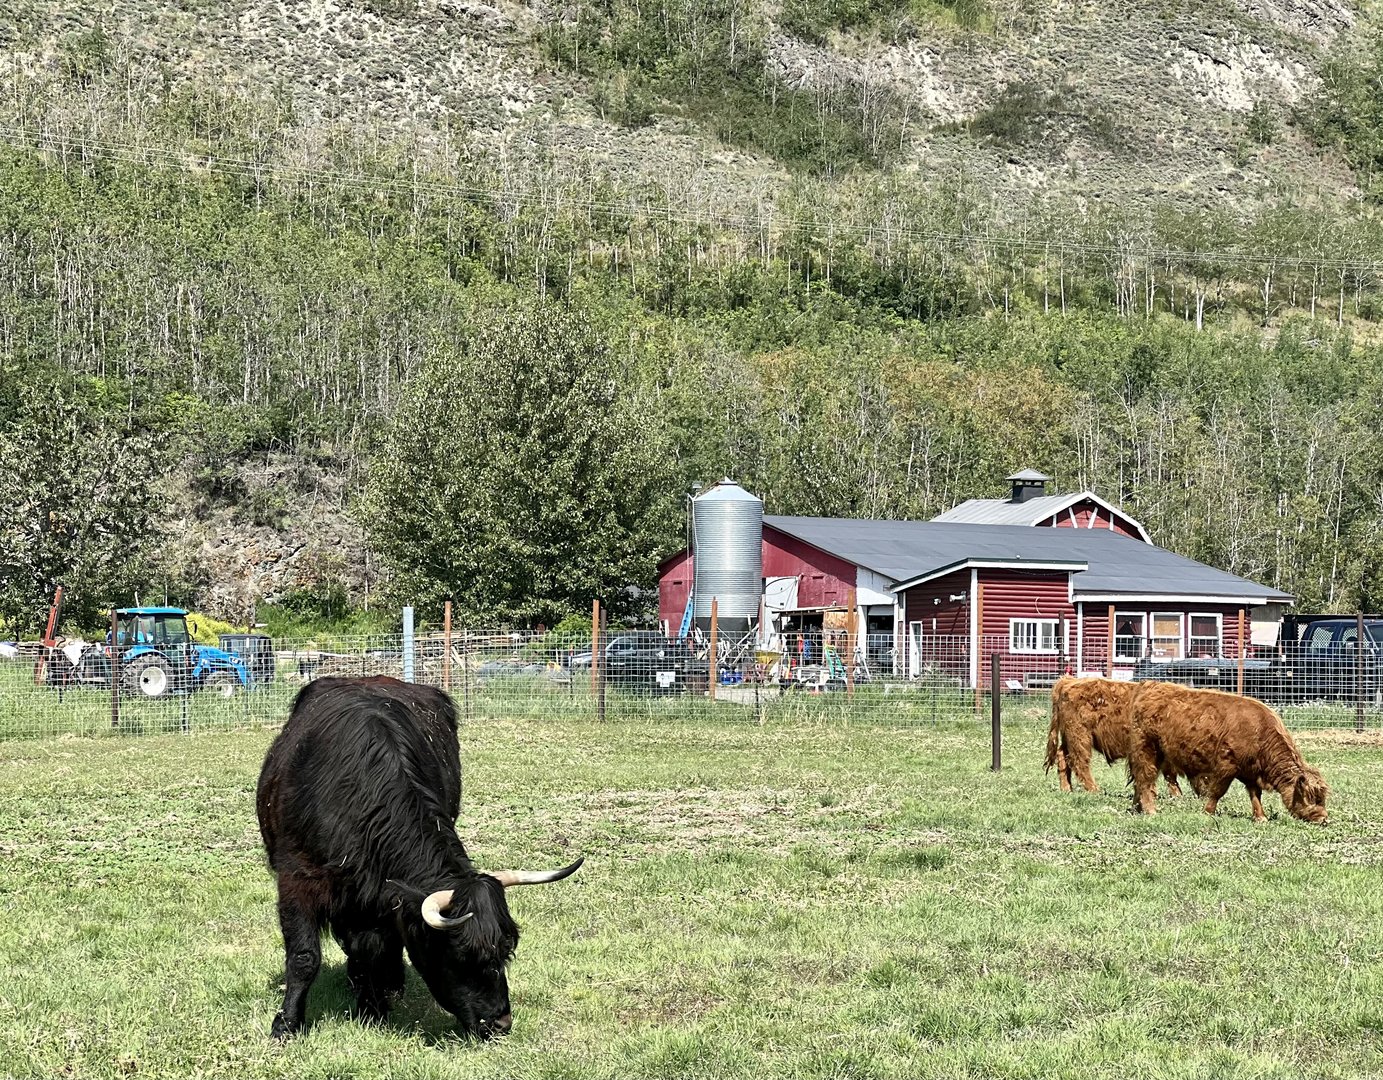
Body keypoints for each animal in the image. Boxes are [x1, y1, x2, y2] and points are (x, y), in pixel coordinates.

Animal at [256, 676, 583, 1040]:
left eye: (506, 949)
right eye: (462, 954)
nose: (500, 1023)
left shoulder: (378, 896)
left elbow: (372, 949)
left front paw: (372, 1008)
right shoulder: (296, 881)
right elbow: (304, 957)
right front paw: (287, 1024)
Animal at [1043, 675, 1183, 796]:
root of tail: (1068, 681)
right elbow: (1167, 773)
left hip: (1069, 737)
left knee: (1062, 756)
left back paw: (1067, 789)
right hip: (1079, 735)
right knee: (1079, 761)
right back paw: (1094, 790)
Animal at [1126, 681, 1329, 823]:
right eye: (1310, 798)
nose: (1323, 819)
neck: (1260, 732)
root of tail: (1150, 686)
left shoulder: (1251, 772)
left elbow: (1255, 795)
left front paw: (1260, 818)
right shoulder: (1226, 767)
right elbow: (1218, 791)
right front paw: (1208, 812)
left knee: (1140, 781)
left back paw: (1137, 808)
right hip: (1146, 751)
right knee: (1145, 779)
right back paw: (1151, 811)